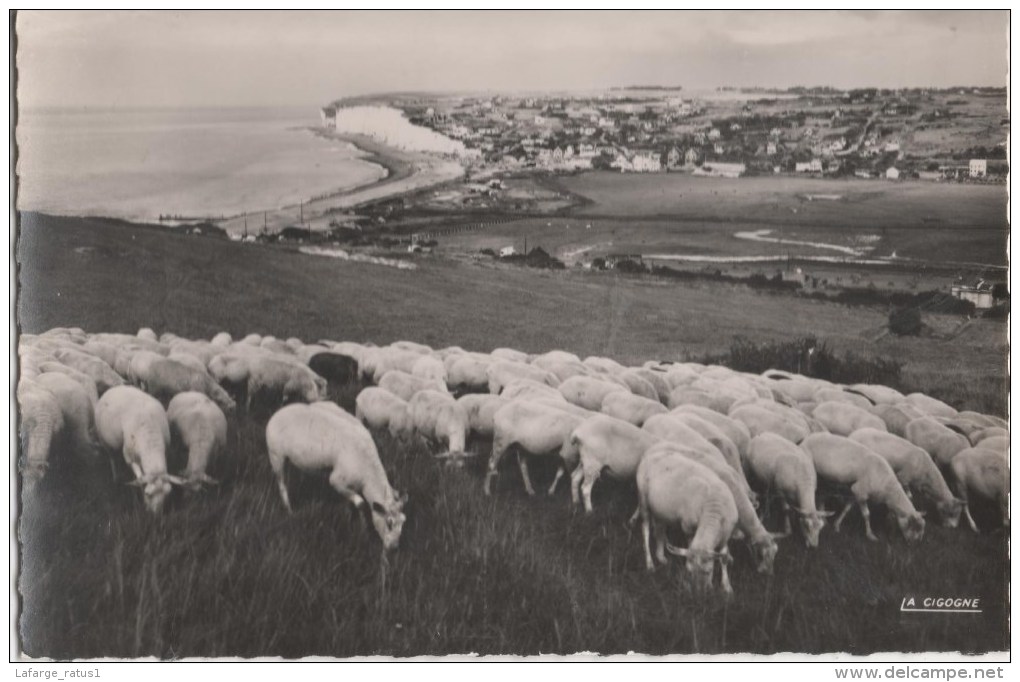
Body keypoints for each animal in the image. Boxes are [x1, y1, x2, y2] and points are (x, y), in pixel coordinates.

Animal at [267, 401, 405, 550]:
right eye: (389, 523)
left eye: (403, 522)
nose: (394, 548)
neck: (368, 474)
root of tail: (278, 412)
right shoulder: (336, 481)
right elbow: (361, 504)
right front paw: (364, 530)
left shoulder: (347, 484)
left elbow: (348, 503)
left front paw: (349, 519)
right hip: (276, 456)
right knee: (282, 484)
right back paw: (289, 510)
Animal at [632, 444, 738, 591]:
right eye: (689, 571)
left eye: (708, 571)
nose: (700, 592)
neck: (713, 511)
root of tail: (649, 455)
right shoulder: (688, 527)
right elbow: (690, 544)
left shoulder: (726, 534)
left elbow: (724, 558)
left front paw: (727, 587)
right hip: (643, 499)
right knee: (646, 530)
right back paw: (650, 563)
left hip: (660, 508)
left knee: (659, 529)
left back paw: (661, 556)